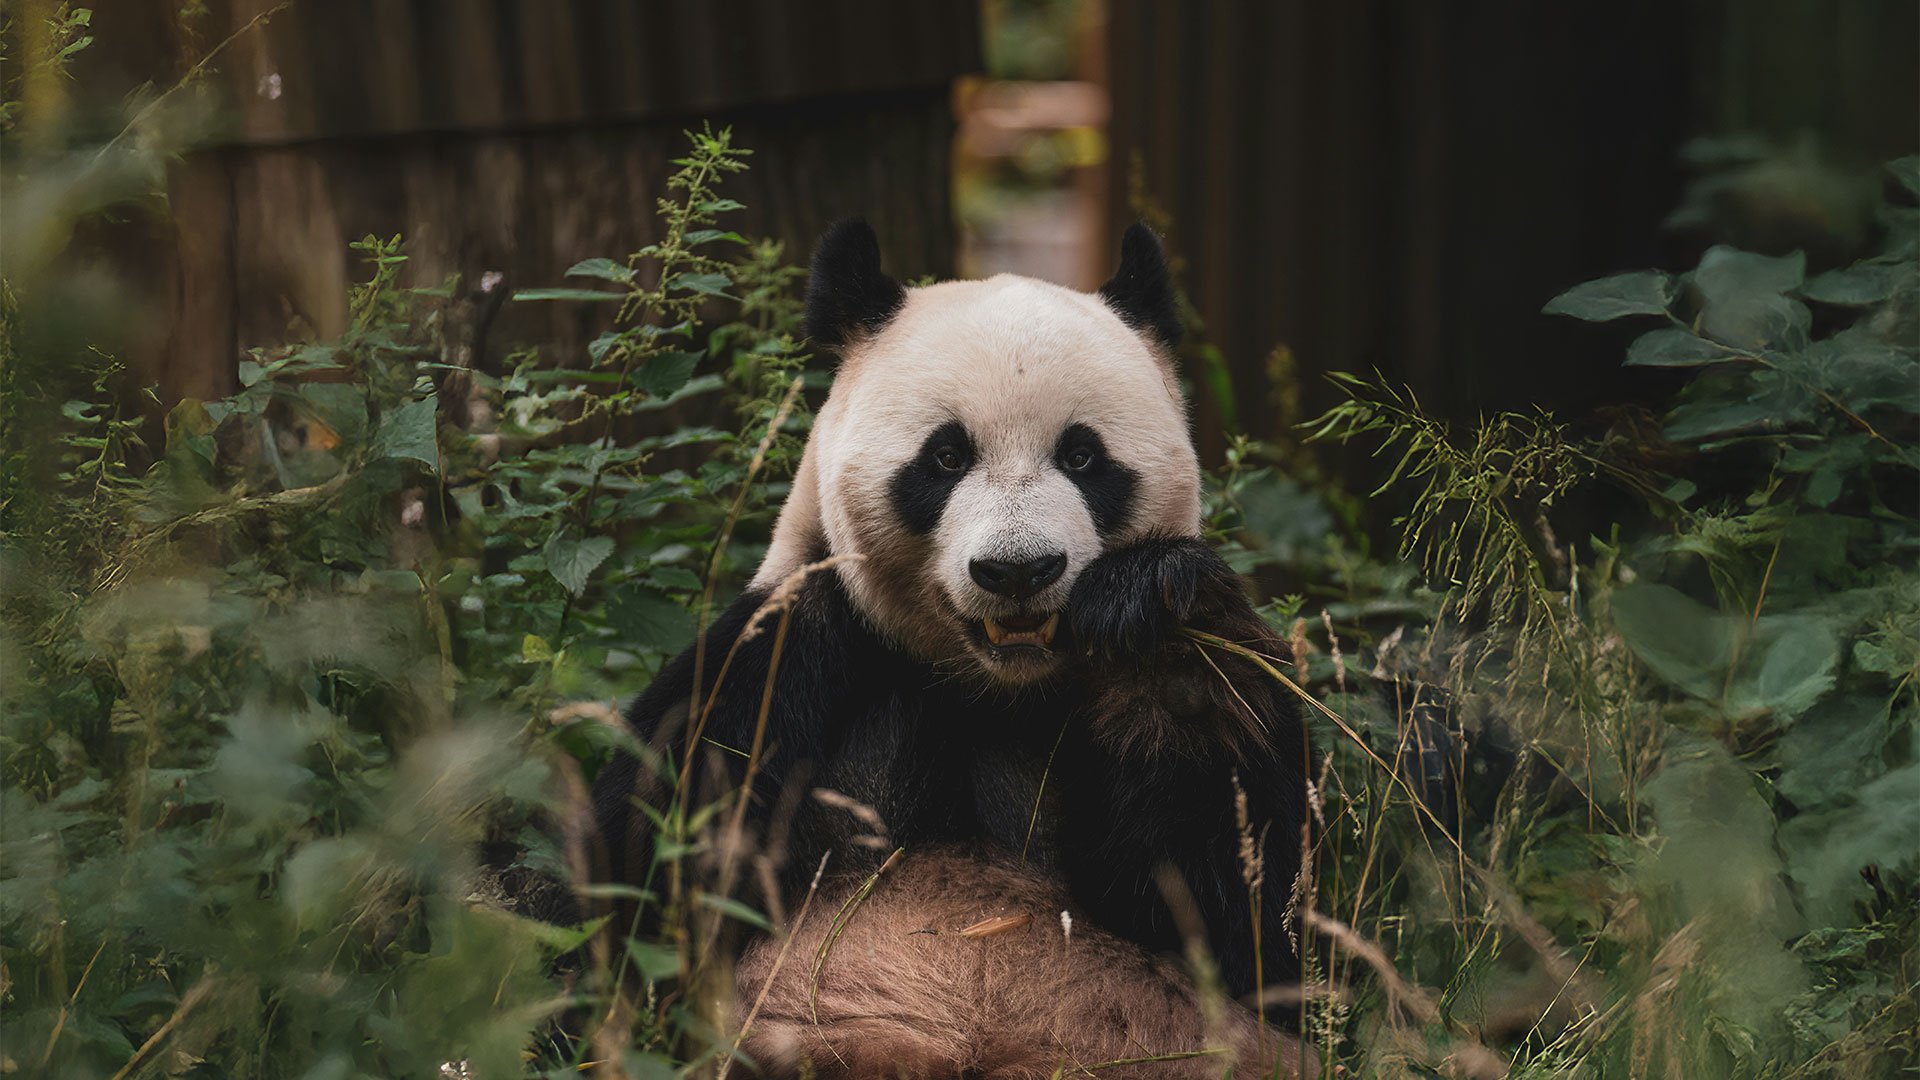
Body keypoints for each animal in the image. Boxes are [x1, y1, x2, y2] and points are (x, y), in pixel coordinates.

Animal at [591, 221, 1312, 1078]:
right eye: (945, 456)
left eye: (1082, 456)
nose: (1018, 569)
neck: (992, 687)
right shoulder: (789, 661)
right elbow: (634, 865)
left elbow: (1239, 915)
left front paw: (1155, 620)